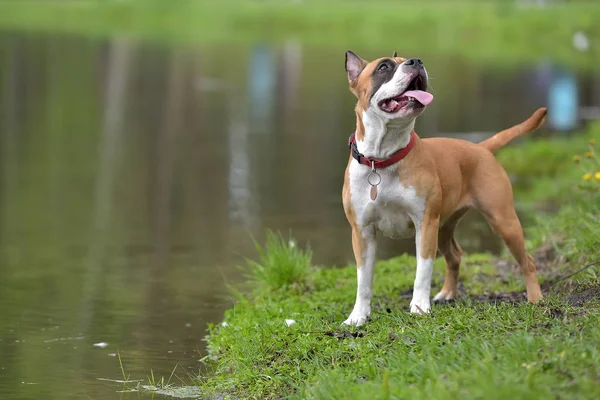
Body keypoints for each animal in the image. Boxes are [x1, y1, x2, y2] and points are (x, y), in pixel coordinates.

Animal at [340, 50, 548, 324]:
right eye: (383, 67)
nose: (416, 62)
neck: (383, 159)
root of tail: (480, 147)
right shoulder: (362, 232)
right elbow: (363, 280)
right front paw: (358, 316)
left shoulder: (425, 225)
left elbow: (422, 272)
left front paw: (419, 307)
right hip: (445, 228)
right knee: (455, 255)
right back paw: (448, 293)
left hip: (503, 222)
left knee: (528, 261)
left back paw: (535, 299)